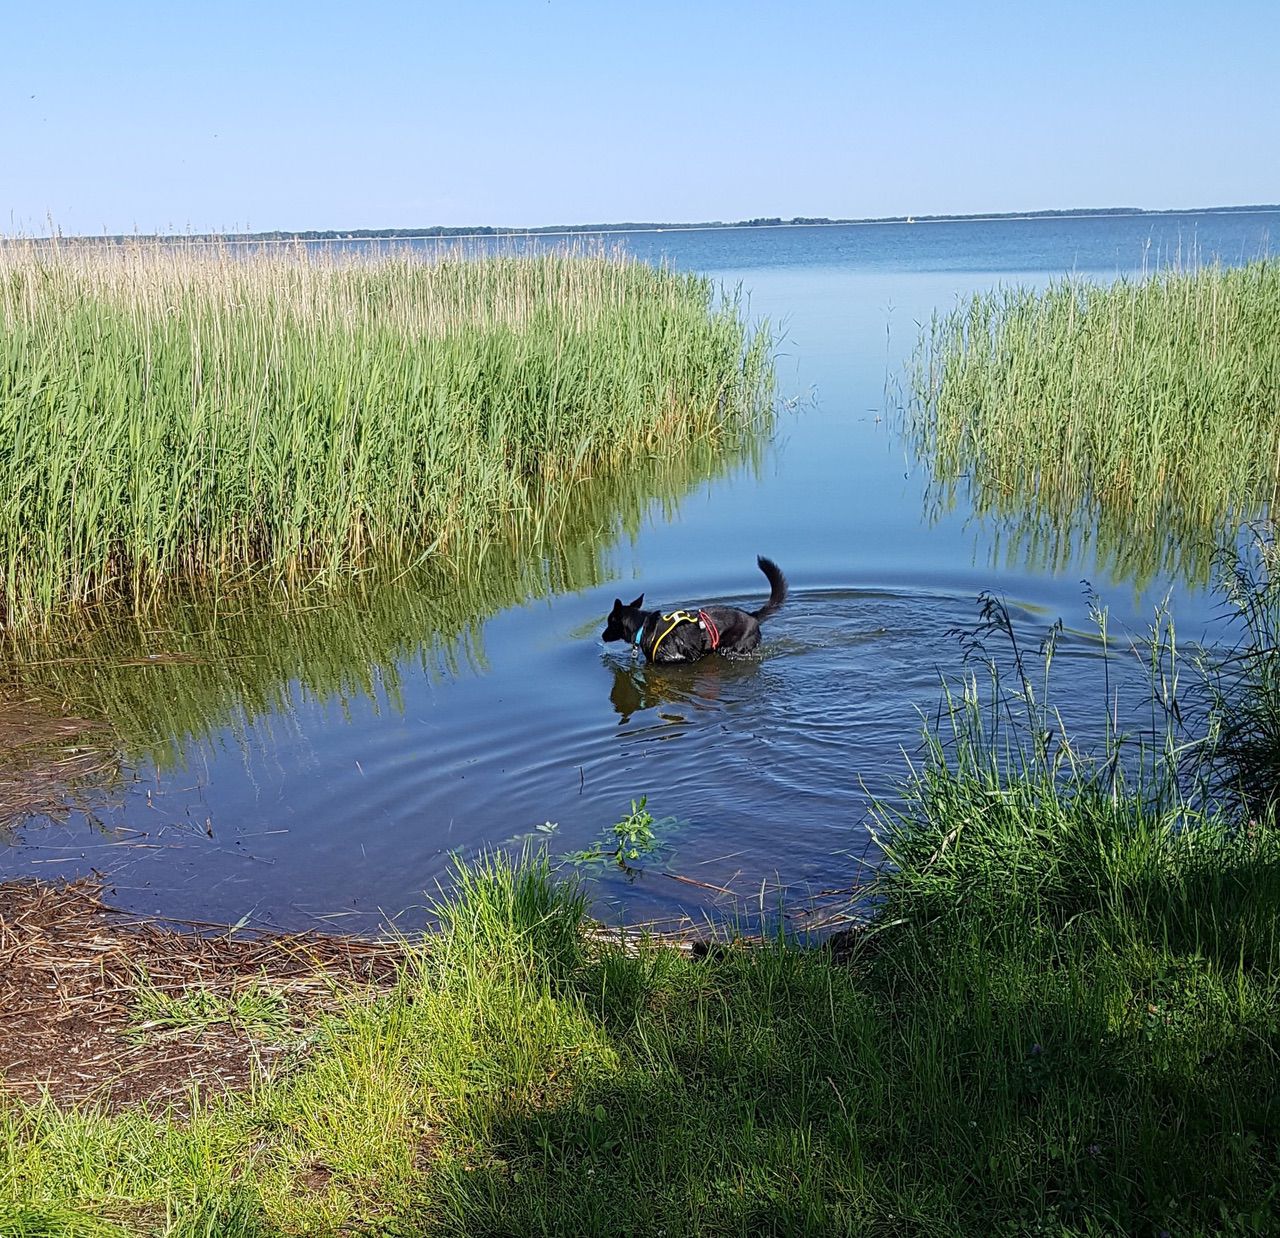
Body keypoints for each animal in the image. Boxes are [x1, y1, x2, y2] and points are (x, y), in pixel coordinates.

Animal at [601, 556, 787, 664]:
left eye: (610, 622)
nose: (602, 636)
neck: (644, 627)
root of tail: (752, 616)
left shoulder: (686, 658)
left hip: (733, 647)